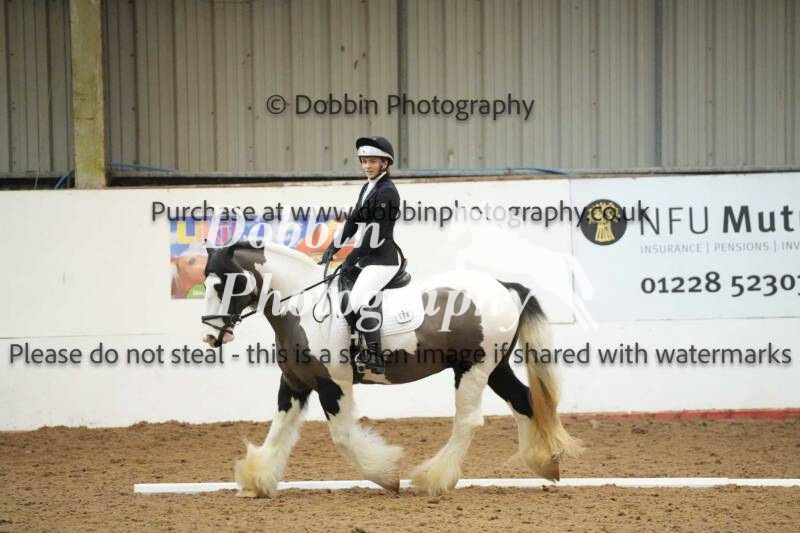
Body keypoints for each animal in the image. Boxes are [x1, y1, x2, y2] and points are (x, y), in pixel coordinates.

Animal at [200, 241, 582, 497]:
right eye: (205, 283)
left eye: (224, 284)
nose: (210, 335)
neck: (304, 307)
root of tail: (503, 286)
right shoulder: (294, 382)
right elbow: (279, 430)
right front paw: (257, 480)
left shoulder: (333, 385)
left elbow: (343, 437)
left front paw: (387, 475)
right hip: (495, 368)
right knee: (524, 400)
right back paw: (545, 463)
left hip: (473, 369)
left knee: (469, 421)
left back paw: (432, 479)